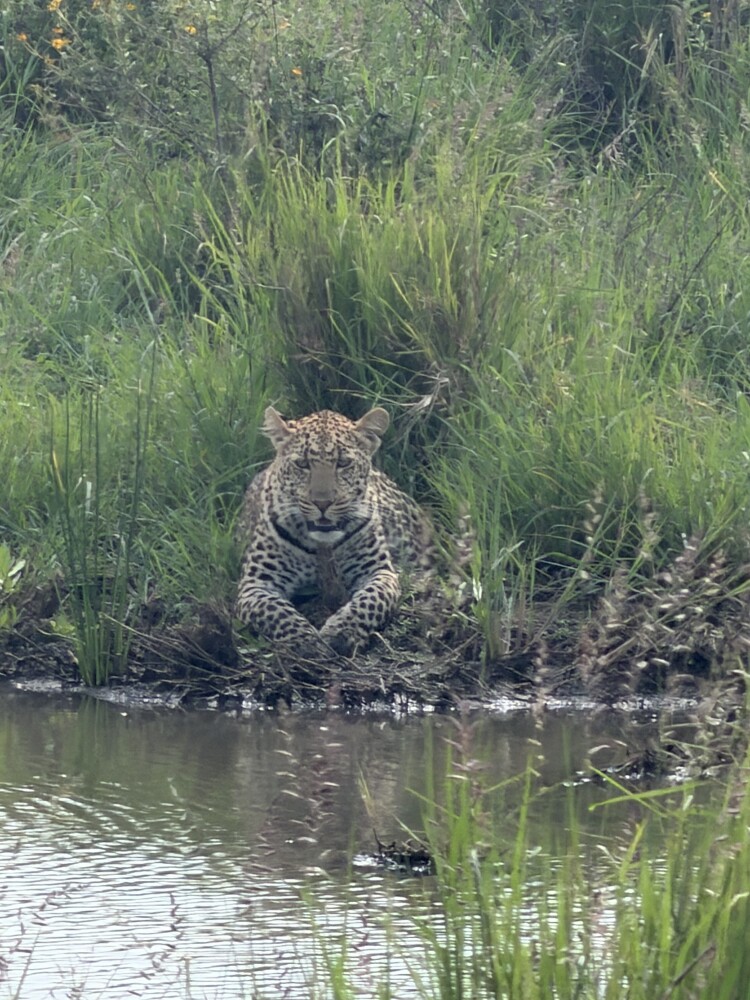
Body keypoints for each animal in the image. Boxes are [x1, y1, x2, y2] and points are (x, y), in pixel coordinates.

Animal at [235, 406, 433, 656]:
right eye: (302, 464)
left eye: (343, 463)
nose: (323, 503)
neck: (322, 547)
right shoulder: (256, 584)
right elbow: (275, 611)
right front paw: (303, 641)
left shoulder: (379, 572)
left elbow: (369, 601)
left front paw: (342, 632)